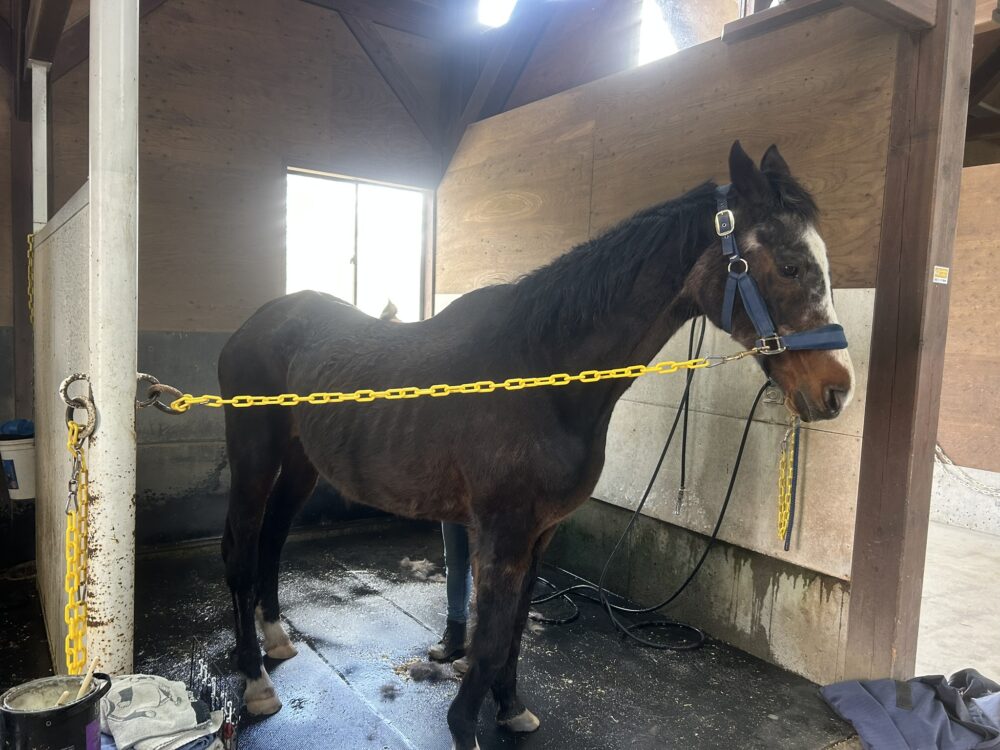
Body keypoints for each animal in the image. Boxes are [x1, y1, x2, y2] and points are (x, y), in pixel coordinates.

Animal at [217, 141, 854, 749]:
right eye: (791, 265)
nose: (837, 390)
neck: (540, 372)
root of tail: (254, 324)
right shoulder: (504, 533)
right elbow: (490, 638)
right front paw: (465, 728)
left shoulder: (540, 533)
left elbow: (516, 630)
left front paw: (511, 709)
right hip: (254, 460)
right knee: (241, 551)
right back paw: (255, 682)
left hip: (301, 463)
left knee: (273, 538)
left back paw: (277, 640)